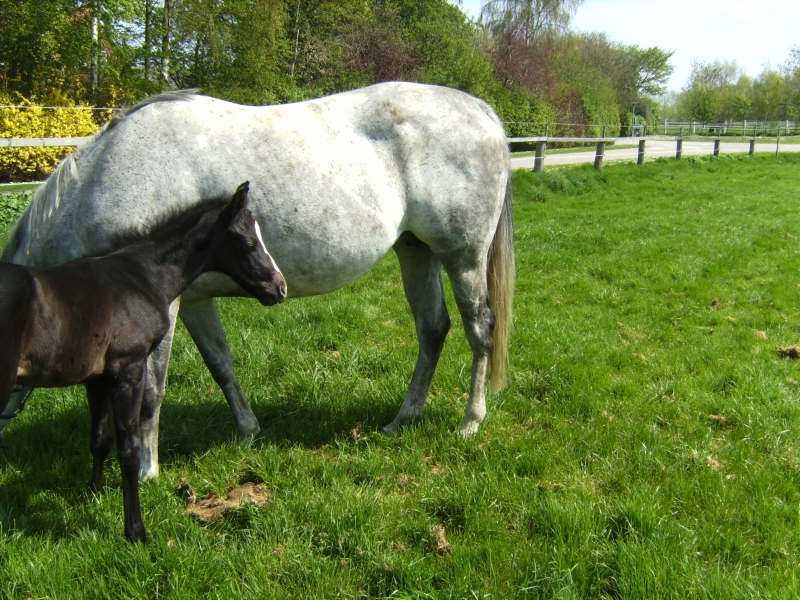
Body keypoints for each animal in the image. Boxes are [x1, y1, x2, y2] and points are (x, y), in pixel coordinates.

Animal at [3, 82, 516, 480]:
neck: (109, 177)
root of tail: (484, 113)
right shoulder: (192, 301)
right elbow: (220, 364)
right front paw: (248, 430)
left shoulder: (162, 310)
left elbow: (152, 389)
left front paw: (147, 470)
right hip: (415, 250)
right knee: (432, 329)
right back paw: (402, 419)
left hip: (462, 257)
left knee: (479, 329)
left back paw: (470, 421)